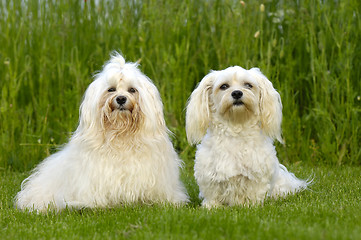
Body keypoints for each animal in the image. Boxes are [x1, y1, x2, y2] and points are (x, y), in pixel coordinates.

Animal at [186, 65, 310, 208]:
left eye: (248, 85)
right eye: (224, 86)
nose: (237, 93)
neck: (236, 128)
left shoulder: (257, 176)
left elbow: (254, 193)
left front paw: (251, 205)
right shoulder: (210, 175)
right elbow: (213, 194)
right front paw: (211, 206)